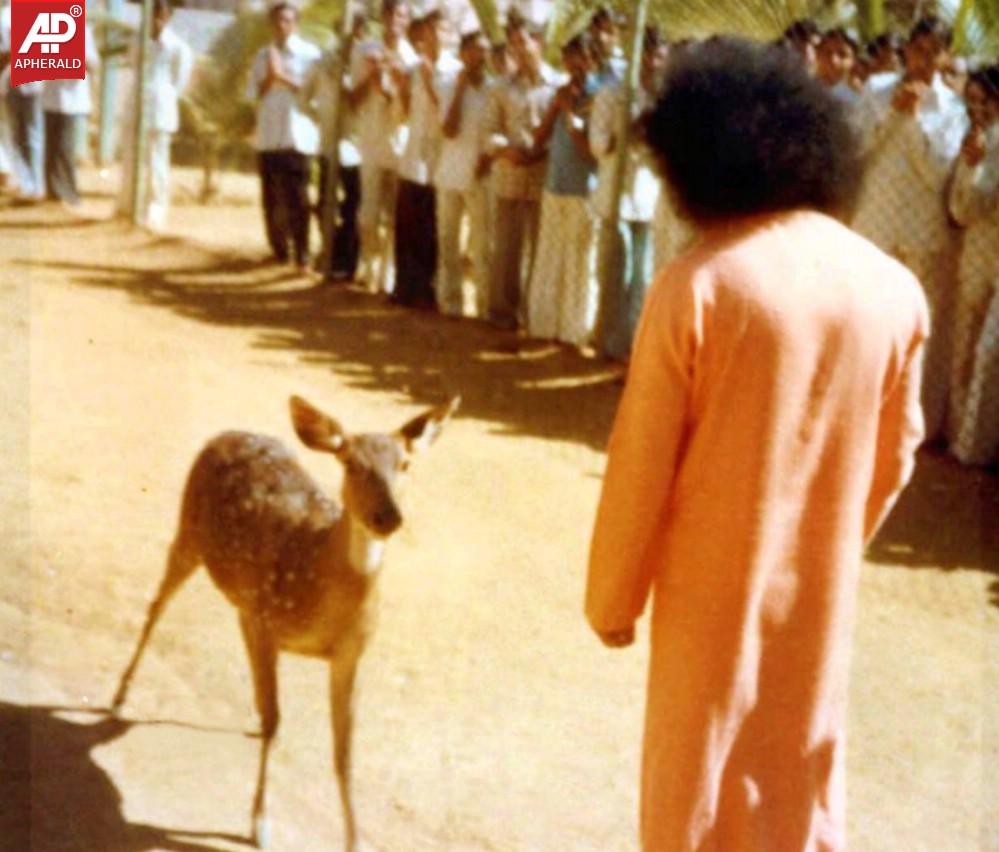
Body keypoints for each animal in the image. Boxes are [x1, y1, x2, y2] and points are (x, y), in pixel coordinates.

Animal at [109, 396, 460, 848]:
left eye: (405, 463)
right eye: (351, 464)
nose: (389, 517)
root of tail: (226, 433)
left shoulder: (350, 654)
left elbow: (344, 753)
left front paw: (355, 841)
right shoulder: (269, 623)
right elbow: (277, 721)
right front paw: (259, 824)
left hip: (241, 597)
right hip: (189, 533)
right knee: (156, 606)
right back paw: (119, 696)